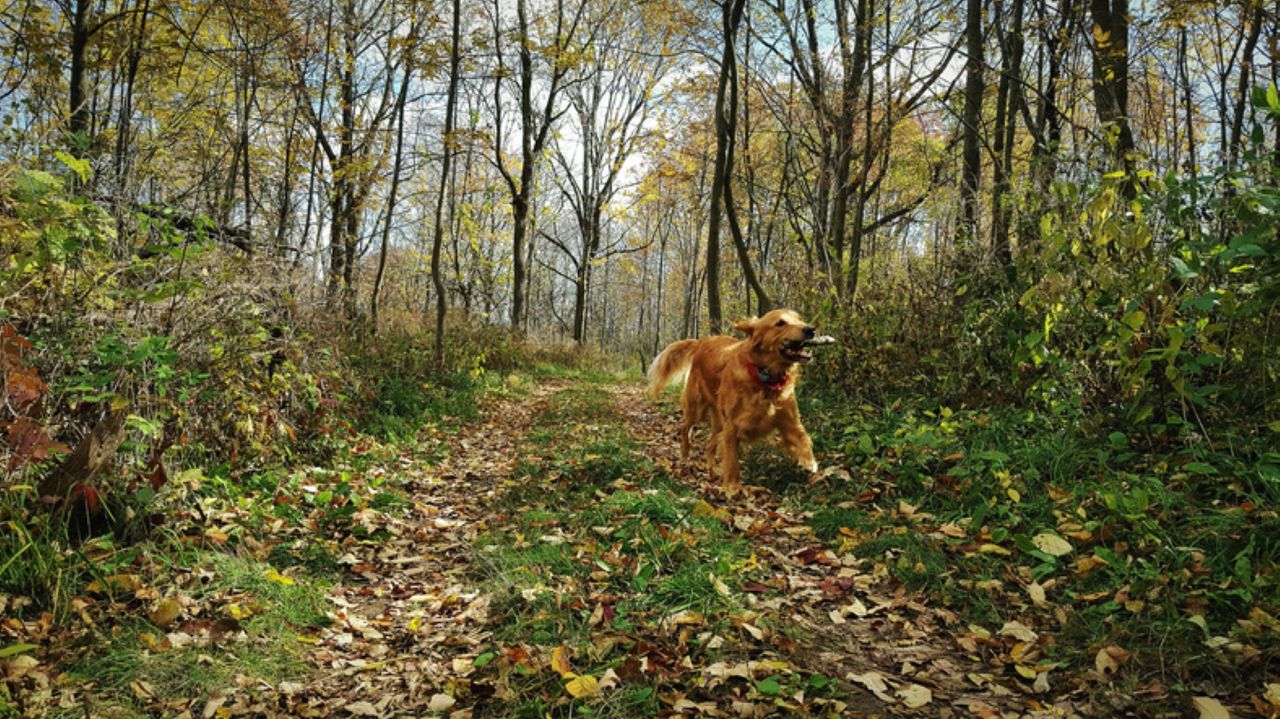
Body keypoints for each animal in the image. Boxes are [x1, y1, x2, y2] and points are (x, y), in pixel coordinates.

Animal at [645, 308, 834, 491]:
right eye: (780, 323)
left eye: (800, 319)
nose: (811, 329)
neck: (765, 378)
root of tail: (702, 341)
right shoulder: (732, 426)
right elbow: (732, 461)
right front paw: (732, 488)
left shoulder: (790, 422)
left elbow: (805, 438)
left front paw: (809, 462)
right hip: (697, 408)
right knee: (684, 427)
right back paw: (685, 453)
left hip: (718, 421)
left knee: (709, 445)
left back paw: (712, 468)